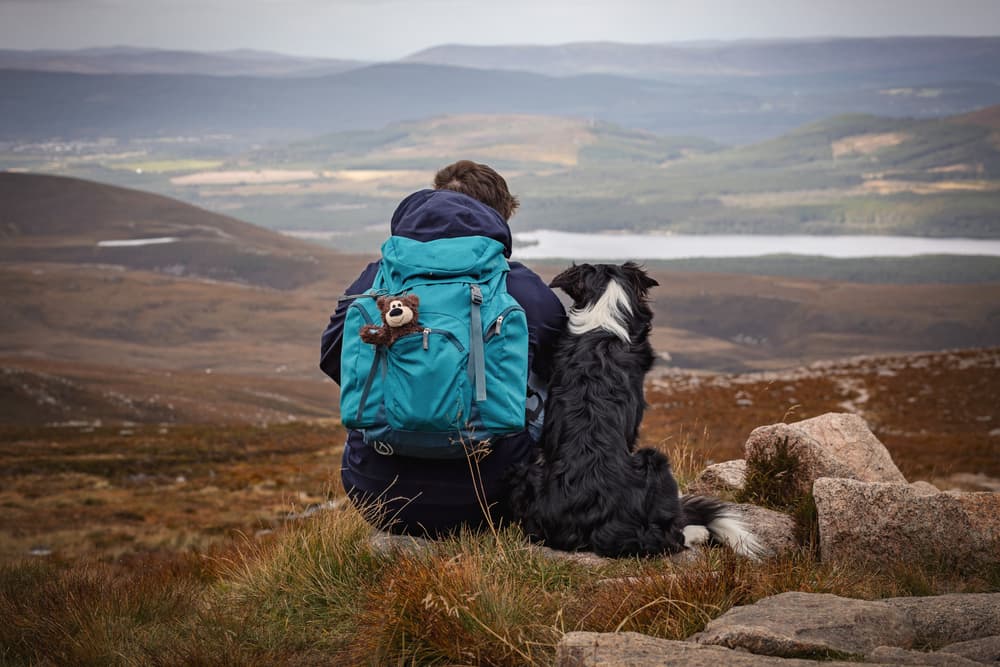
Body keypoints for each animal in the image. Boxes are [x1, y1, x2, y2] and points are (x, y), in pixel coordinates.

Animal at [508, 264, 756, 560]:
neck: (603, 321)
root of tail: (595, 522)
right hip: (655, 461)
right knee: (670, 537)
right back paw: (697, 531)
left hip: (527, 473)